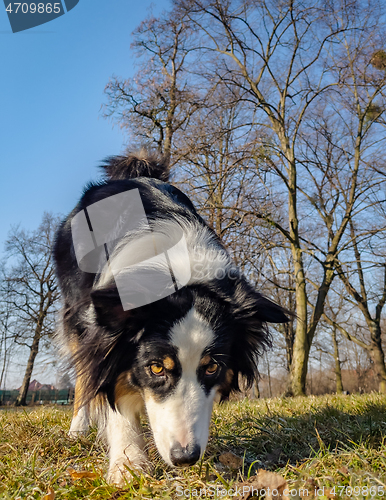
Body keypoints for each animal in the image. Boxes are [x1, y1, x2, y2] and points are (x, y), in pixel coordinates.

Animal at [53, 149, 290, 484]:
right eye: (155, 368)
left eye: (212, 367)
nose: (185, 458)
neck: (175, 274)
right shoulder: (102, 332)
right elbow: (110, 391)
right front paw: (128, 464)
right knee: (84, 377)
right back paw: (78, 428)